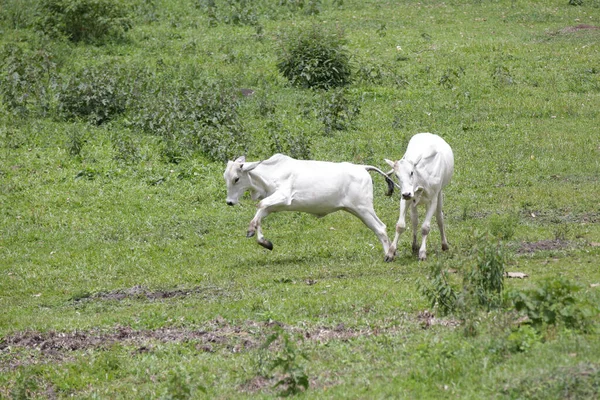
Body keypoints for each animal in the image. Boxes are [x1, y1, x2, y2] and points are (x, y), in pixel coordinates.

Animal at [223, 152, 396, 260]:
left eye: (236, 178)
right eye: (226, 177)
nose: (229, 202)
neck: (270, 174)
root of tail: (362, 168)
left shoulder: (283, 196)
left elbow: (259, 205)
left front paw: (255, 233)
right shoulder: (274, 205)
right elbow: (259, 214)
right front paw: (263, 241)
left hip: (363, 209)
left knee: (380, 228)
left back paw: (389, 255)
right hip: (359, 210)